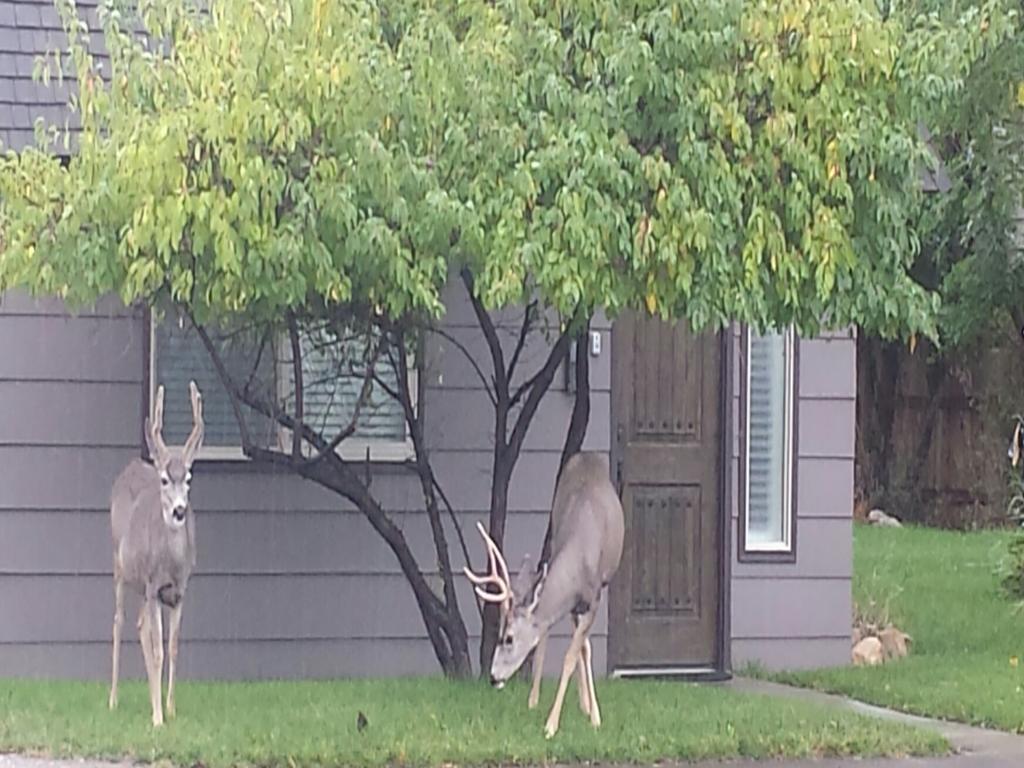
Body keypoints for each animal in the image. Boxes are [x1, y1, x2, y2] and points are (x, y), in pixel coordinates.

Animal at [108, 382, 203, 729]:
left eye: (188, 478)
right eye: (164, 479)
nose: (179, 510)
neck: (171, 563)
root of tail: (130, 467)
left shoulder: (178, 592)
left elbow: (172, 648)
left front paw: (170, 708)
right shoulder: (153, 586)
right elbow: (159, 649)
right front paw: (159, 717)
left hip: (143, 586)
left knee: (139, 626)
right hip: (119, 566)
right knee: (119, 621)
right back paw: (113, 699)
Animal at [464, 450, 622, 741]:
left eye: (508, 638)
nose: (493, 677)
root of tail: (586, 454)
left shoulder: (594, 599)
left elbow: (572, 655)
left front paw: (554, 725)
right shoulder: (573, 602)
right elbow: (570, 646)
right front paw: (551, 711)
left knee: (580, 645)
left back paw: (586, 708)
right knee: (561, 638)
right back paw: (547, 701)